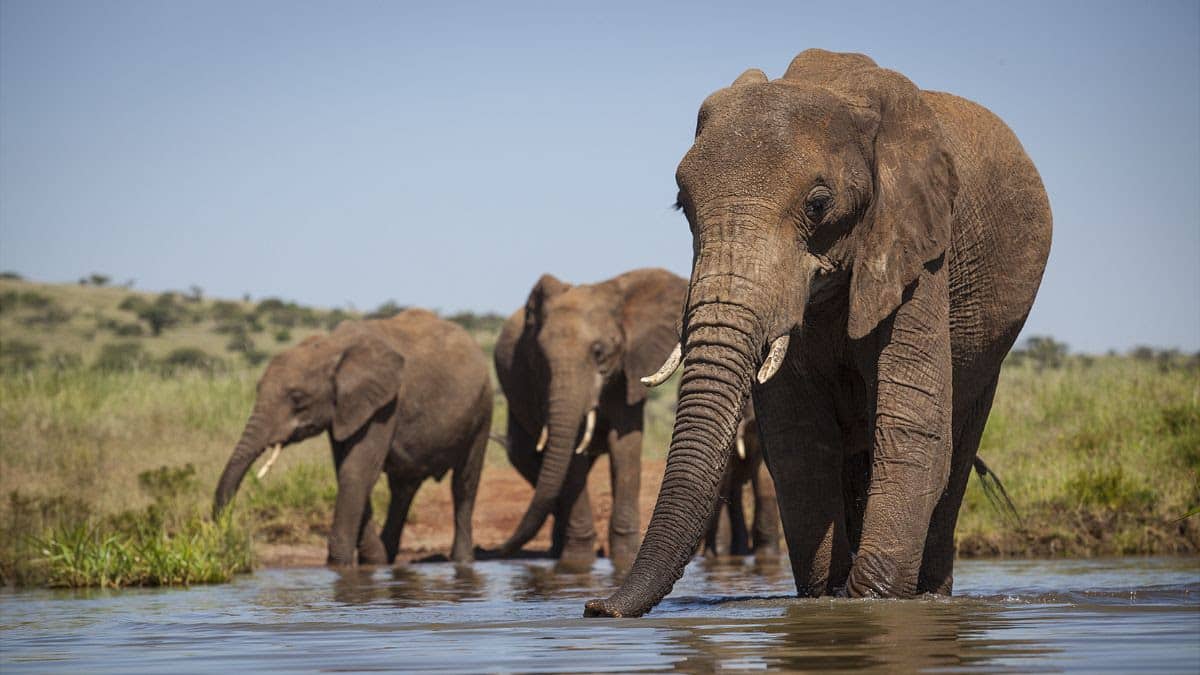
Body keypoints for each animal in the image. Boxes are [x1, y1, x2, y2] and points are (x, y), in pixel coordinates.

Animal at [213, 309, 493, 566]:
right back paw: (388, 556)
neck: (332, 346)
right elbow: (348, 471)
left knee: (464, 483)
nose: (224, 540)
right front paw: (372, 561)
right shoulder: (346, 409)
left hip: (482, 408)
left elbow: (356, 470)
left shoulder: (385, 405)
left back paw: (461, 560)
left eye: (297, 398)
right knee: (403, 489)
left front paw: (340, 564)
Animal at [493, 268, 688, 569]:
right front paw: (576, 565)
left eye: (599, 353)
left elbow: (625, 447)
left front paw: (625, 560)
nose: (498, 552)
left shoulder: (627, 371)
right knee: (528, 459)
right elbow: (572, 456)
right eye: (540, 358)